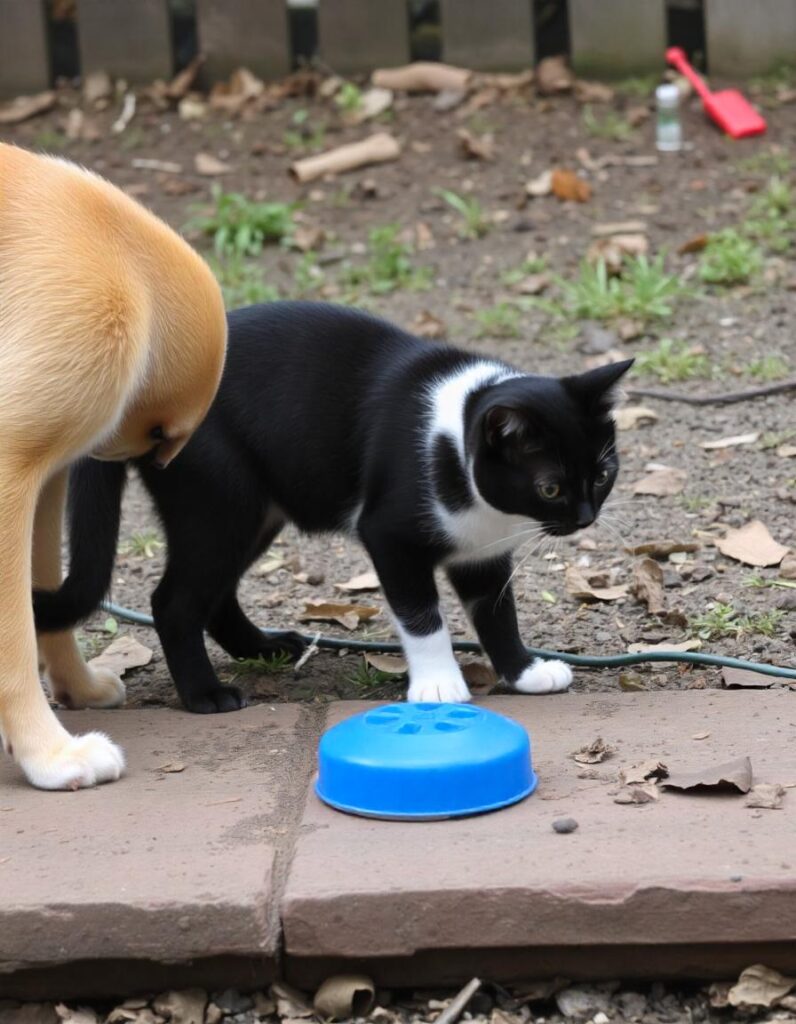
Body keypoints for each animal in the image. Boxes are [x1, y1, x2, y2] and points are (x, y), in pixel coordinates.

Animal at [0, 144, 226, 786]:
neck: (123, 254)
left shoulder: (46, 469)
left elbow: (45, 587)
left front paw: (76, 688)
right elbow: (14, 633)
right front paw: (49, 755)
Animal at [34, 299, 635, 712]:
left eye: (603, 474)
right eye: (551, 487)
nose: (585, 517)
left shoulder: (480, 552)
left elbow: (496, 613)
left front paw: (524, 671)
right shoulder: (387, 534)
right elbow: (421, 613)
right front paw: (439, 683)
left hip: (255, 511)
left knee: (216, 591)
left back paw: (264, 647)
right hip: (220, 500)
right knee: (175, 600)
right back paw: (206, 694)